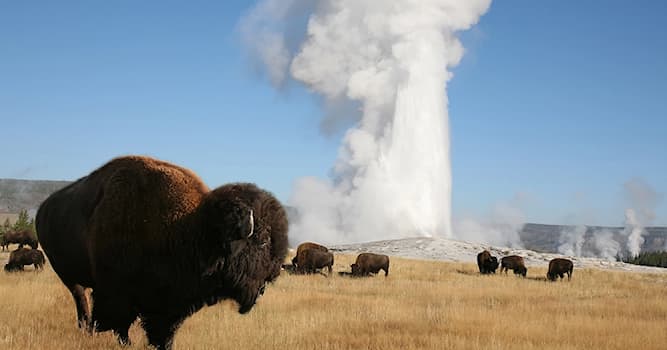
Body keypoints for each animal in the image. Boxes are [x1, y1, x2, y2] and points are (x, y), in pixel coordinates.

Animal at [34, 157, 290, 350]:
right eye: (263, 241)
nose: (275, 272)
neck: (193, 229)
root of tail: (43, 209)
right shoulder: (116, 294)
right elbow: (118, 322)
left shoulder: (169, 304)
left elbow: (162, 331)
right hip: (69, 276)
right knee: (81, 299)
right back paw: (86, 328)